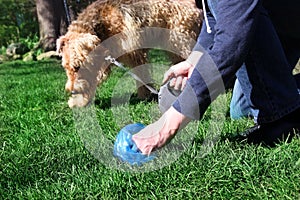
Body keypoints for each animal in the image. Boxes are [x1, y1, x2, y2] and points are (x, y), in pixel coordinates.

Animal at [56, 0, 202, 108]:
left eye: (77, 67)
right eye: (65, 67)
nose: (72, 91)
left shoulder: (135, 54)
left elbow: (142, 77)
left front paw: (145, 97)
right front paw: (77, 102)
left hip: (180, 41)